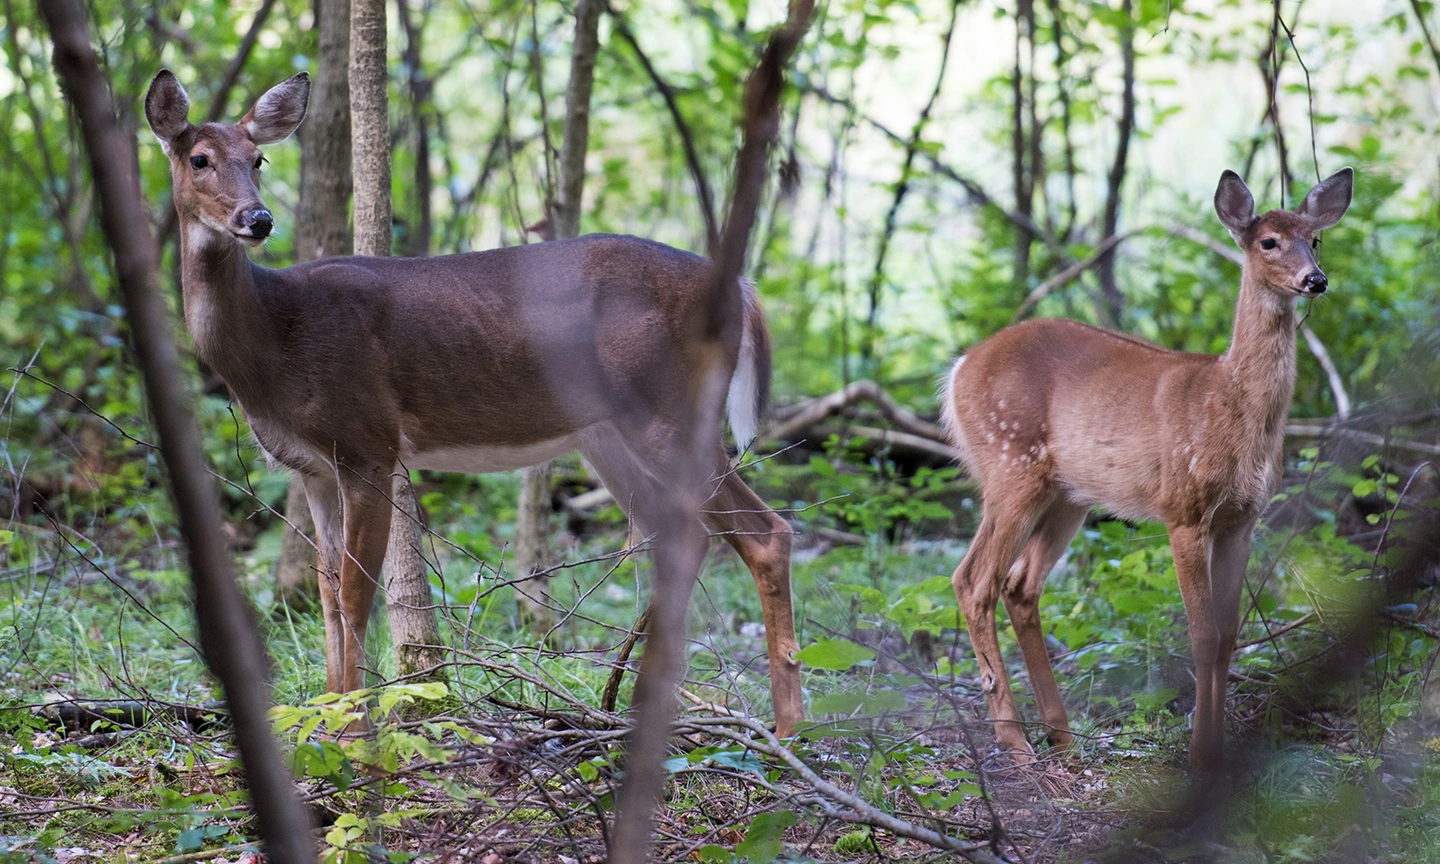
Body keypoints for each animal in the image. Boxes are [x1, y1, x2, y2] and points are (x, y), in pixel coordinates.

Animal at [142, 69, 805, 743]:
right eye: (199, 158)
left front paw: (354, 731)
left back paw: (788, 731)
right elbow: (327, 595)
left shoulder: (368, 441)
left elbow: (356, 591)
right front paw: (328, 716)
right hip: (607, 435)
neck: (277, 338)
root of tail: (744, 288)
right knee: (687, 537)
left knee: (763, 532)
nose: (258, 218)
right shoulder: (315, 468)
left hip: (666, 410)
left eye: (258, 158)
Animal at [939, 167, 1354, 772]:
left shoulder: (1242, 518)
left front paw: (1220, 751)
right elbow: (1201, 636)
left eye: (1315, 239)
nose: (1315, 280)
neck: (1232, 405)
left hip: (1067, 495)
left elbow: (1228, 636)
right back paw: (1014, 740)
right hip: (1009, 463)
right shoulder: (1183, 508)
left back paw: (1062, 735)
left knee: (1019, 586)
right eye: (1267, 241)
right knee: (974, 581)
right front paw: (1200, 754)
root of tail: (959, 368)